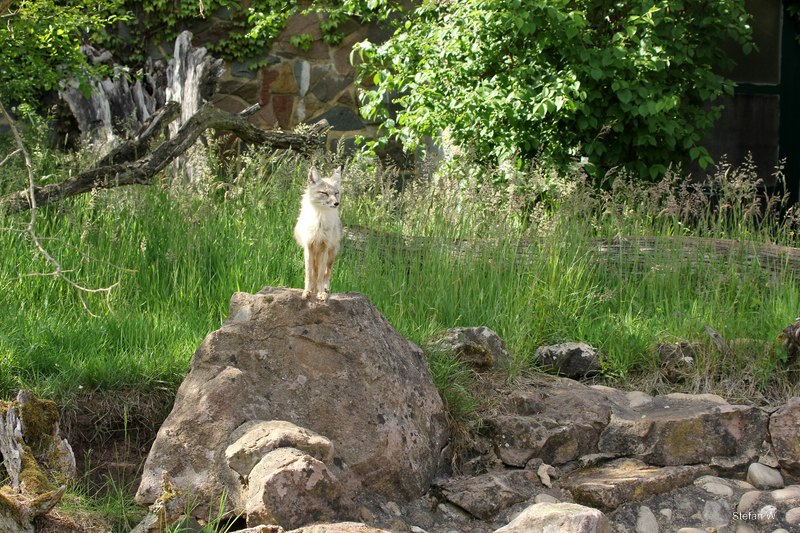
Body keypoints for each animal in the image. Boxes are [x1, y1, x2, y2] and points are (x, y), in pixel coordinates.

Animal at [294, 166, 343, 301]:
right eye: (324, 193)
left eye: (336, 193)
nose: (336, 203)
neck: (319, 222)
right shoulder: (308, 247)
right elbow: (309, 275)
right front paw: (307, 291)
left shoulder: (324, 248)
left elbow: (321, 276)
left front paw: (321, 293)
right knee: (314, 273)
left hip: (331, 255)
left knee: (327, 274)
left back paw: (325, 289)